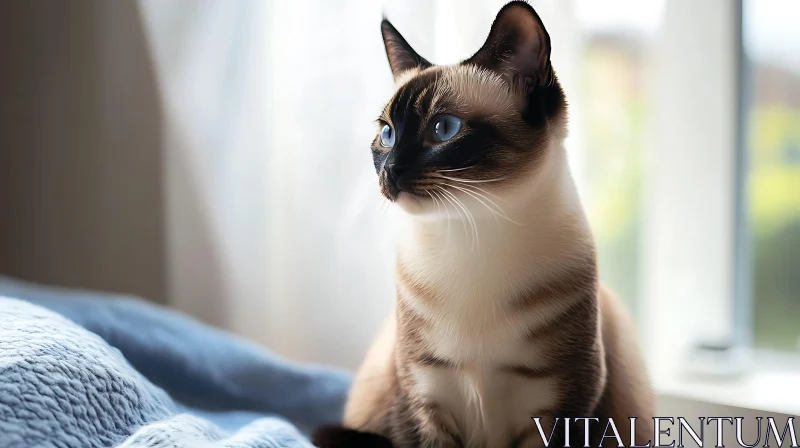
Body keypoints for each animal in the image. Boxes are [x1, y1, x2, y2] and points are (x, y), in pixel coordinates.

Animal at [312, 1, 648, 446]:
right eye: (387, 134)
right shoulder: (424, 403)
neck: (470, 237)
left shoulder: (561, 411)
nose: (391, 173)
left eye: (444, 129)